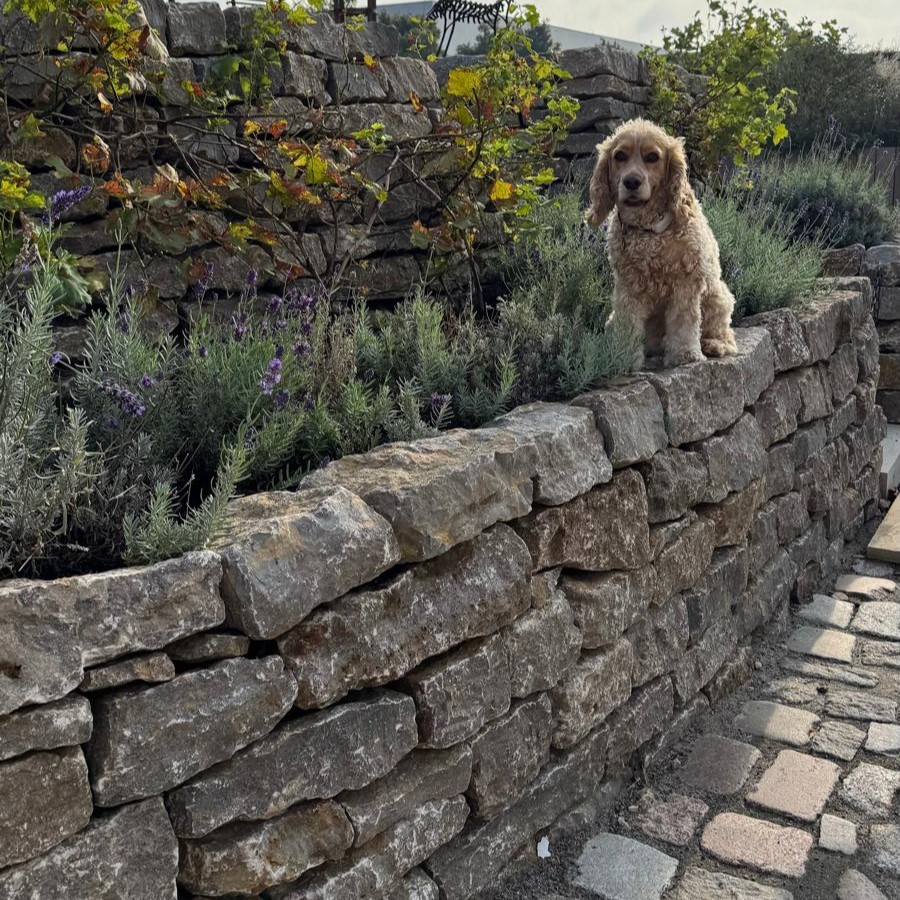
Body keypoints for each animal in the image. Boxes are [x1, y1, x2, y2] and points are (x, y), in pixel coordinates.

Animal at [584, 118, 740, 368]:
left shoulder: (686, 283)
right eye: (620, 156)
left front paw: (685, 354)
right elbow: (629, 324)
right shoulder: (628, 286)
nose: (631, 181)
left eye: (652, 157)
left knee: (725, 333)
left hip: (718, 296)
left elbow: (683, 321)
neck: (649, 229)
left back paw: (714, 344)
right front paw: (623, 357)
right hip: (612, 319)